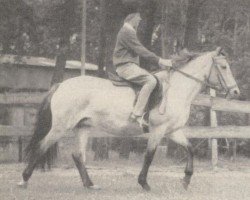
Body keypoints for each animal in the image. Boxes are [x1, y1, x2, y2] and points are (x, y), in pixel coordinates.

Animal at [17, 47, 240, 191]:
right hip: (60, 127)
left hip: (83, 127)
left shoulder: (172, 131)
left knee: (78, 155)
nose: (236, 92)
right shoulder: (158, 130)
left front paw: (185, 180)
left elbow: (190, 149)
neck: (176, 90)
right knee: (41, 147)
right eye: (223, 67)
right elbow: (149, 156)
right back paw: (24, 180)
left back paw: (90, 185)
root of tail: (61, 85)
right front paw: (144, 183)